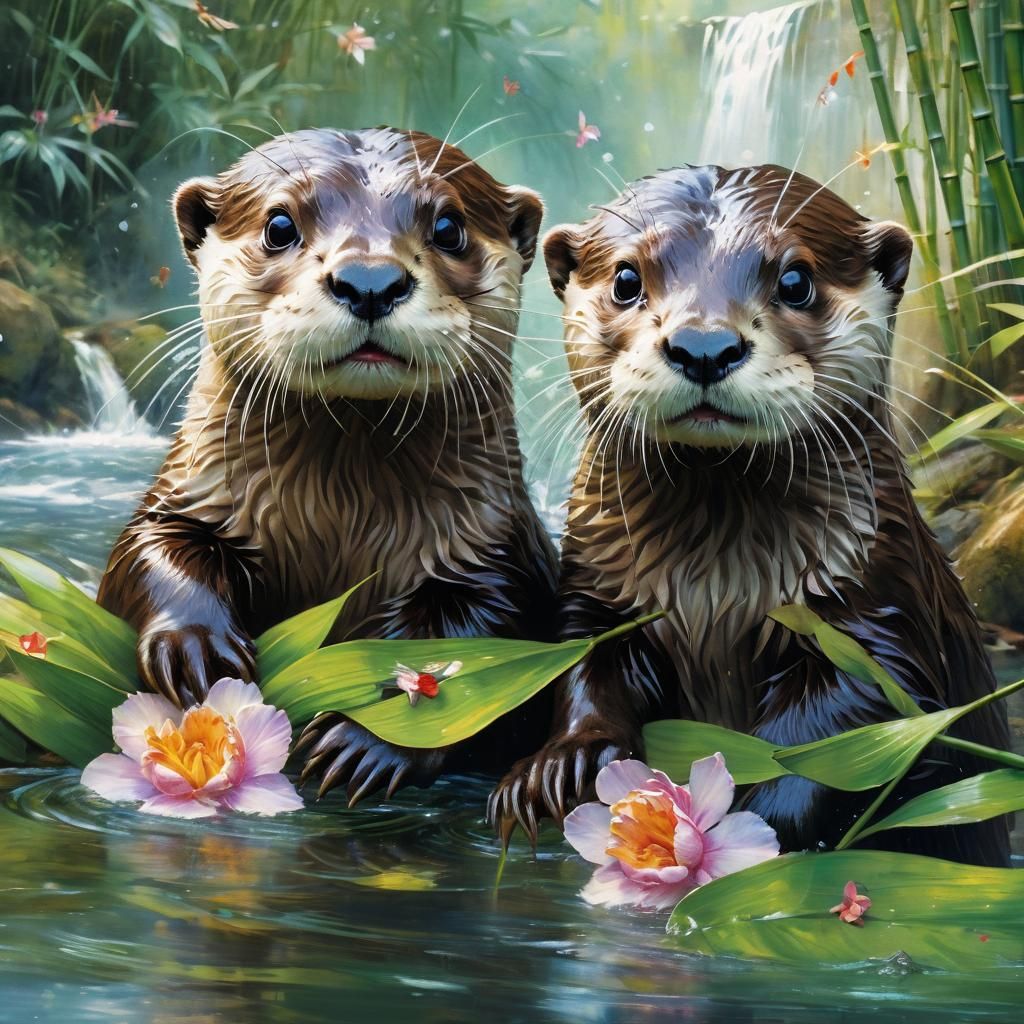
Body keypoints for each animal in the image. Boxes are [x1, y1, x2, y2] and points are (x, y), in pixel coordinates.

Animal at [98, 127, 558, 802]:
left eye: (449, 227)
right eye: (279, 224)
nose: (369, 279)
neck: (339, 521)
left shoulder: (492, 548)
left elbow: (479, 638)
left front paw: (369, 735)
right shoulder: (190, 493)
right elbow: (149, 548)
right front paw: (198, 647)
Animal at [488, 164, 1011, 866]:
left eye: (795, 279)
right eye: (626, 279)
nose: (704, 344)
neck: (716, 589)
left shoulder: (876, 608)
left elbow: (845, 732)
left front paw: (747, 822)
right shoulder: (600, 592)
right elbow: (586, 668)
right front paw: (556, 769)